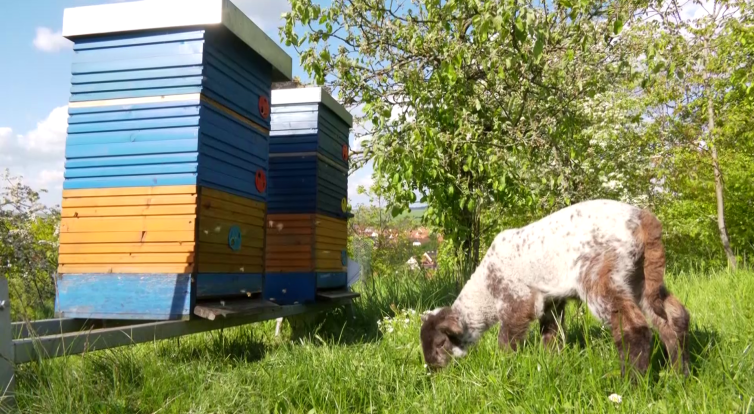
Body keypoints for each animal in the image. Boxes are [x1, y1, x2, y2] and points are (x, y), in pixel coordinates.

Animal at [420, 199, 692, 376]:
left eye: (440, 343)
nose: (433, 371)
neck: (485, 290)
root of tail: (642, 219)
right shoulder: (551, 300)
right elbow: (551, 335)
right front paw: (551, 361)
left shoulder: (517, 301)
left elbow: (507, 341)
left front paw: (505, 367)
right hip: (641, 277)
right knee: (673, 317)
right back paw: (679, 375)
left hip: (599, 275)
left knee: (634, 328)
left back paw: (632, 383)